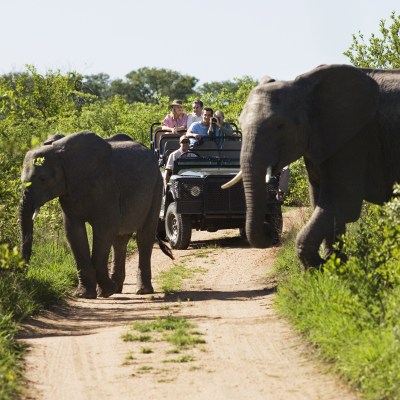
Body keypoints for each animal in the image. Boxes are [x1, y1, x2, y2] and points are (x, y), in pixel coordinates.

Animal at [20, 133, 172, 298]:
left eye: (43, 179)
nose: (24, 273)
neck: (62, 153)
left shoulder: (105, 187)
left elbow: (105, 229)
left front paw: (105, 292)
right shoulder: (69, 191)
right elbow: (74, 233)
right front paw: (84, 294)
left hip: (157, 186)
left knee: (144, 238)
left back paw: (142, 291)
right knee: (119, 241)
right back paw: (117, 289)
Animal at [227, 64, 400, 268]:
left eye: (280, 126)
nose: (269, 229)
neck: (305, 90)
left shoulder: (354, 140)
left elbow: (341, 202)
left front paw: (318, 266)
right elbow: (319, 200)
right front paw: (335, 264)